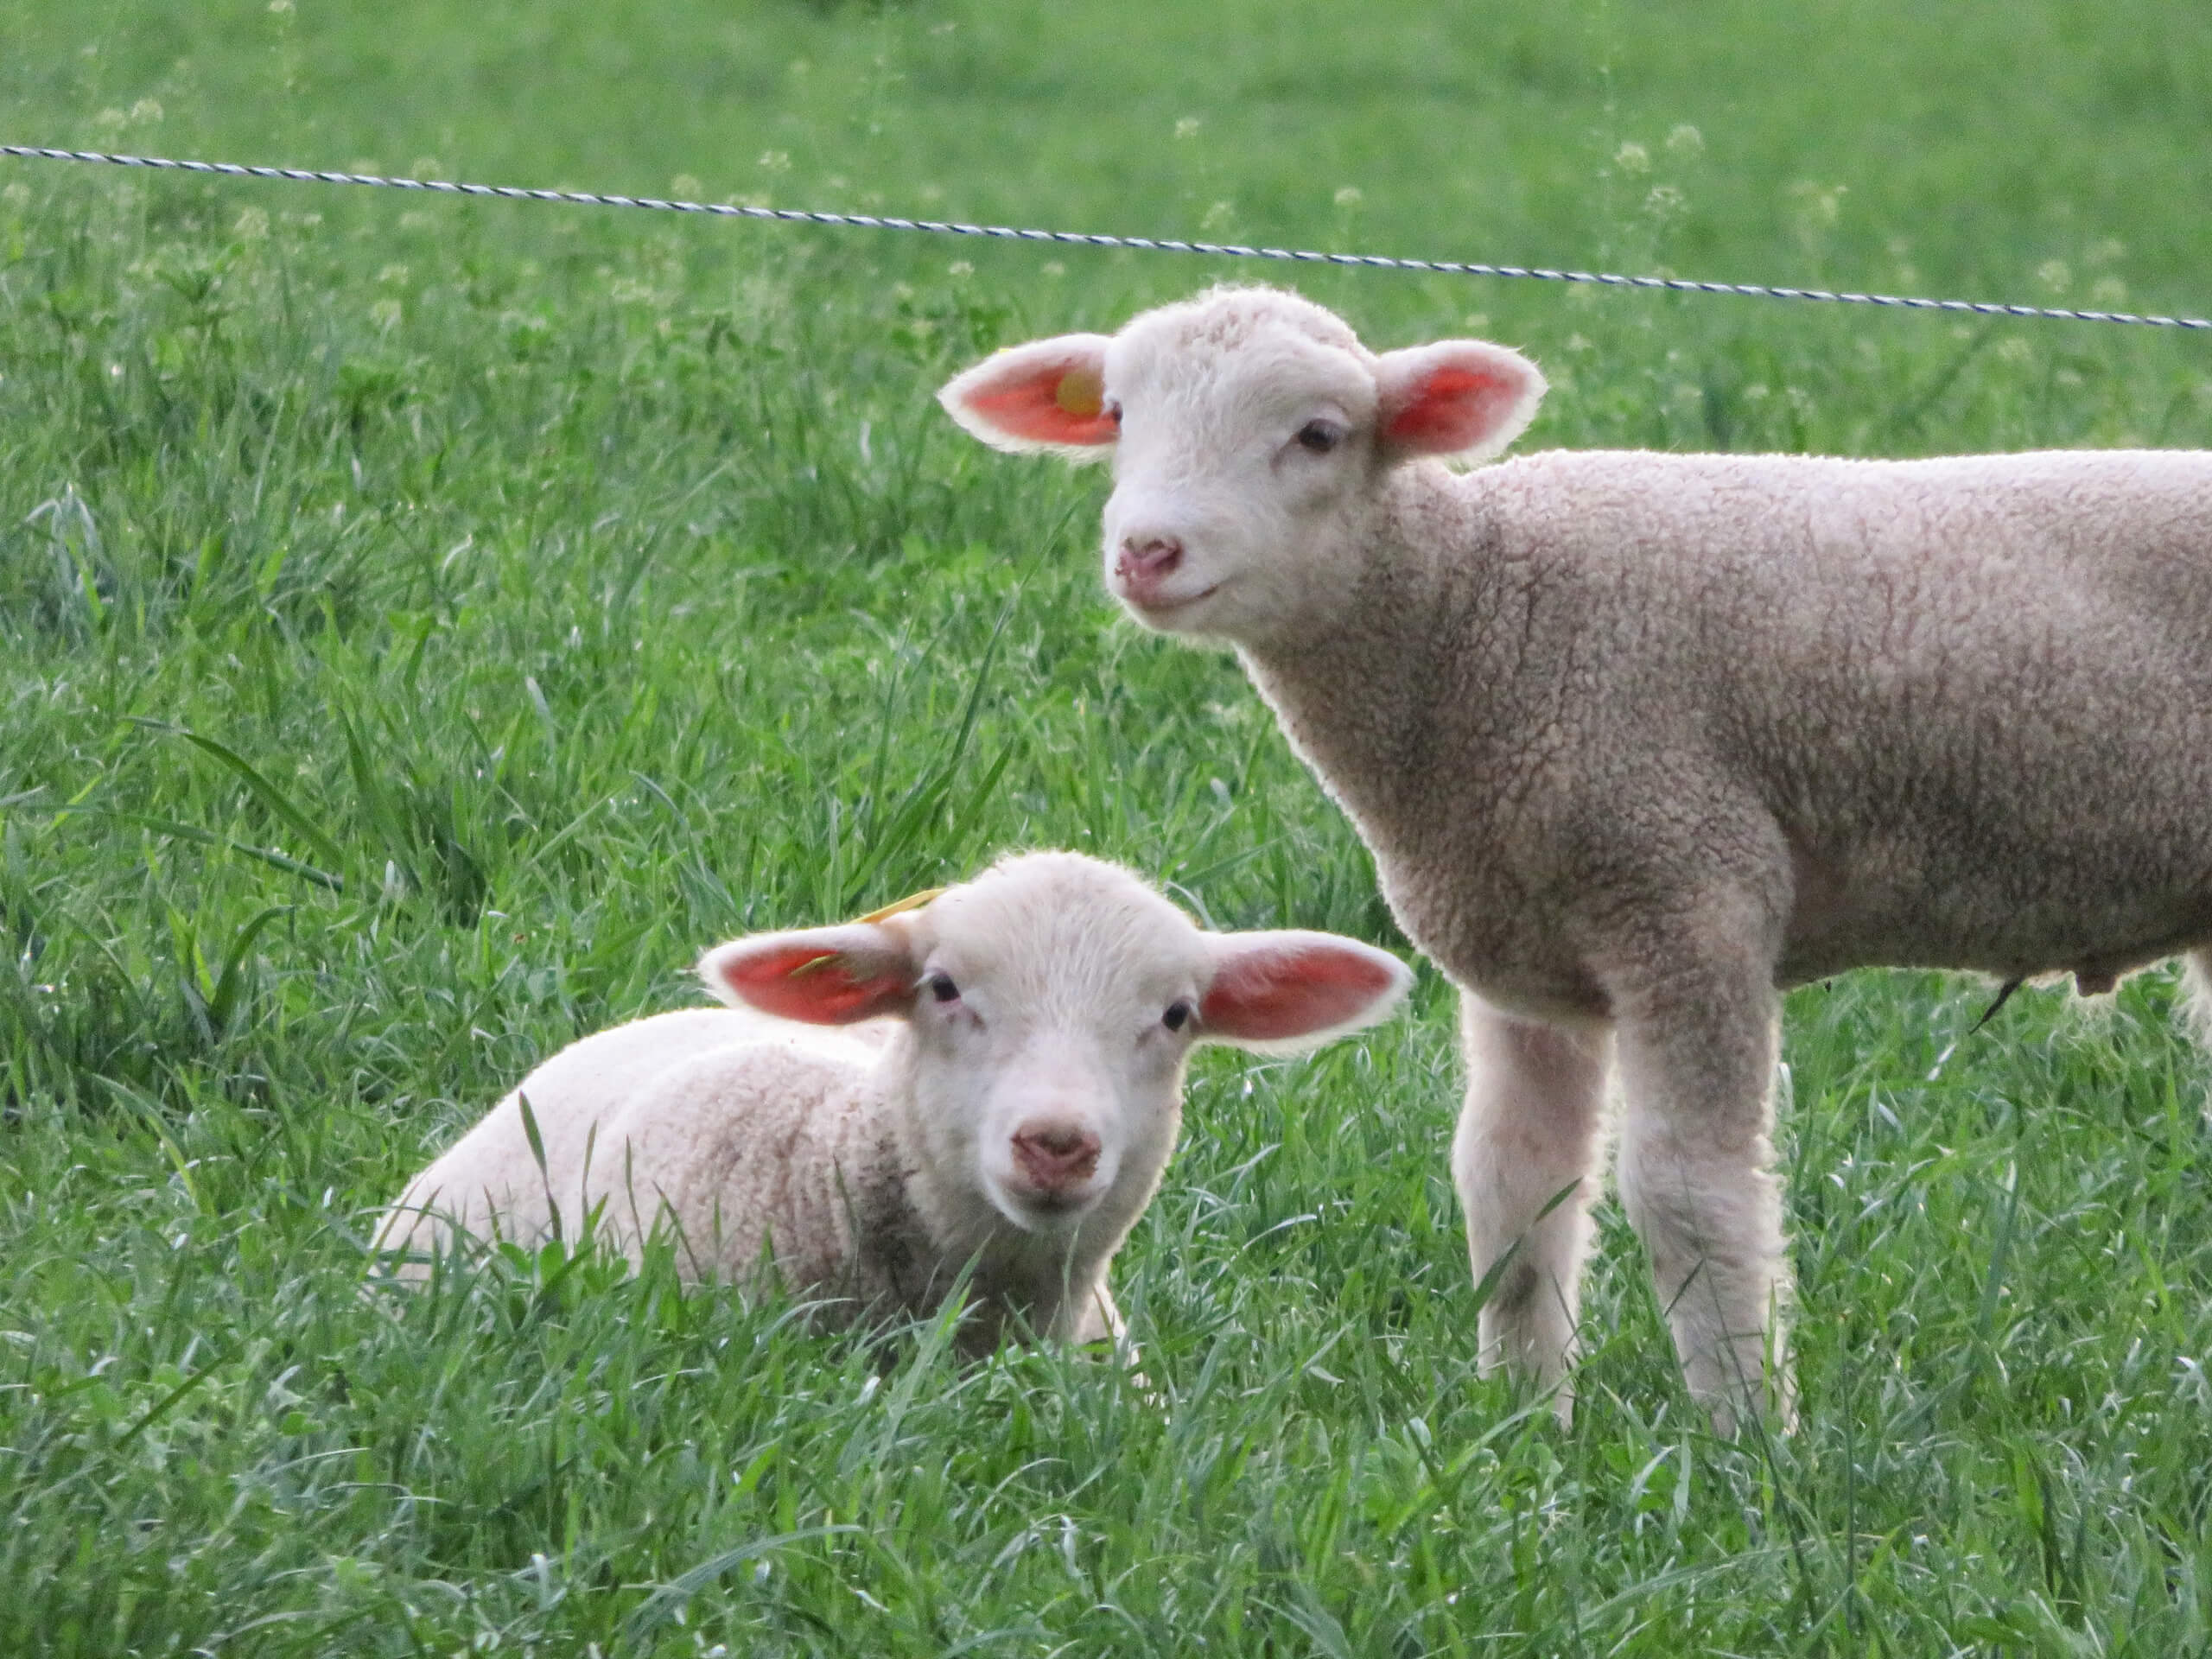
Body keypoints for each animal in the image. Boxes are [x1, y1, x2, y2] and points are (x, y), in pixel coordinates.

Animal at [938, 285, 2212, 1429]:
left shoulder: (1685, 893)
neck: (1475, 616)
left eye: (1319, 434)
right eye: (1114, 414)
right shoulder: (1523, 948)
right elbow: (1512, 1188)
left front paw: (1750, 1452)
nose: (1147, 551)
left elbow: (1687, 1196)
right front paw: (1518, 1437)